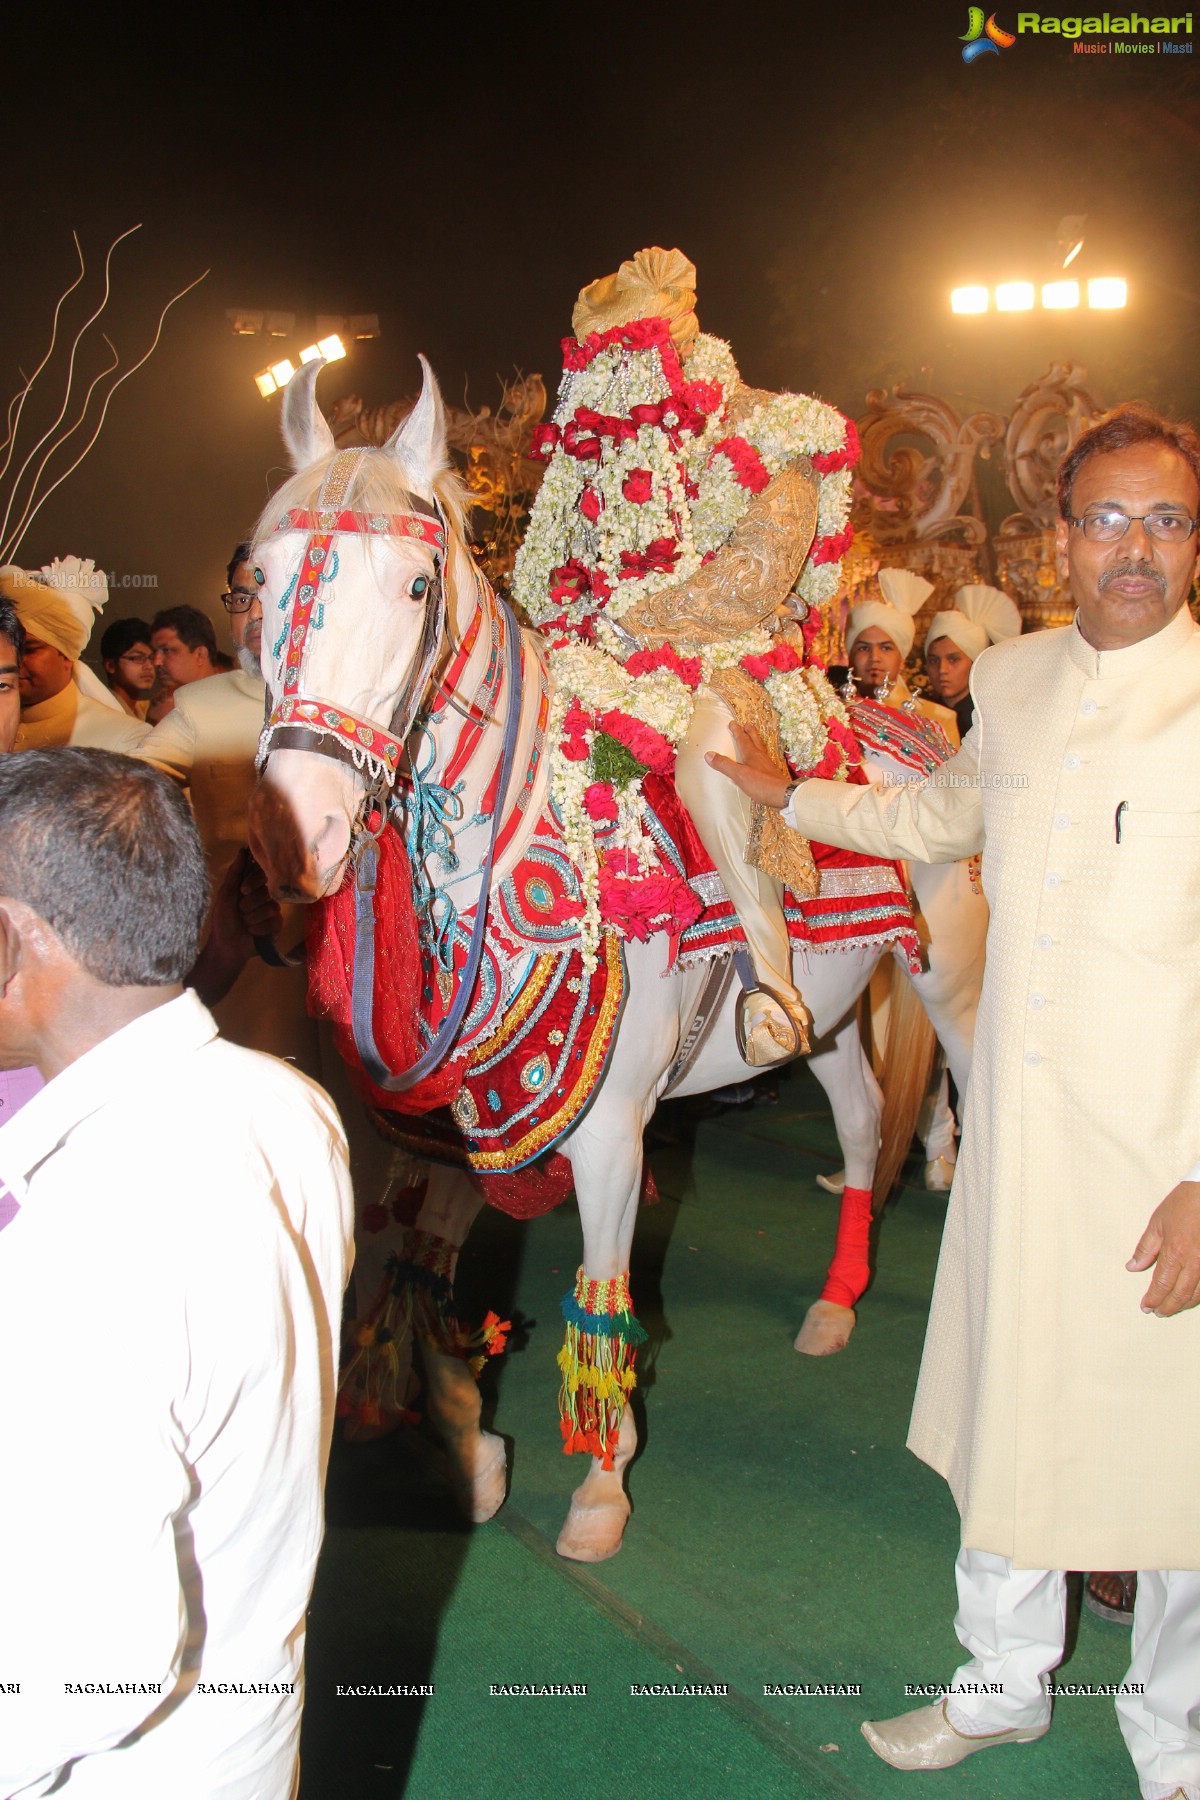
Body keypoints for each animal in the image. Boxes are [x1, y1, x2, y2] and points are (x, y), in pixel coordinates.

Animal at [246, 288, 985, 1555]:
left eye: (415, 588)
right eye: (262, 577)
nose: (303, 822)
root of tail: (911, 728)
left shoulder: (608, 1136)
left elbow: (603, 1292)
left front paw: (598, 1482)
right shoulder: (454, 1120)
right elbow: (414, 1262)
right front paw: (446, 1426)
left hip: (951, 980)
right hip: (837, 1012)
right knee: (852, 1124)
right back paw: (835, 1306)